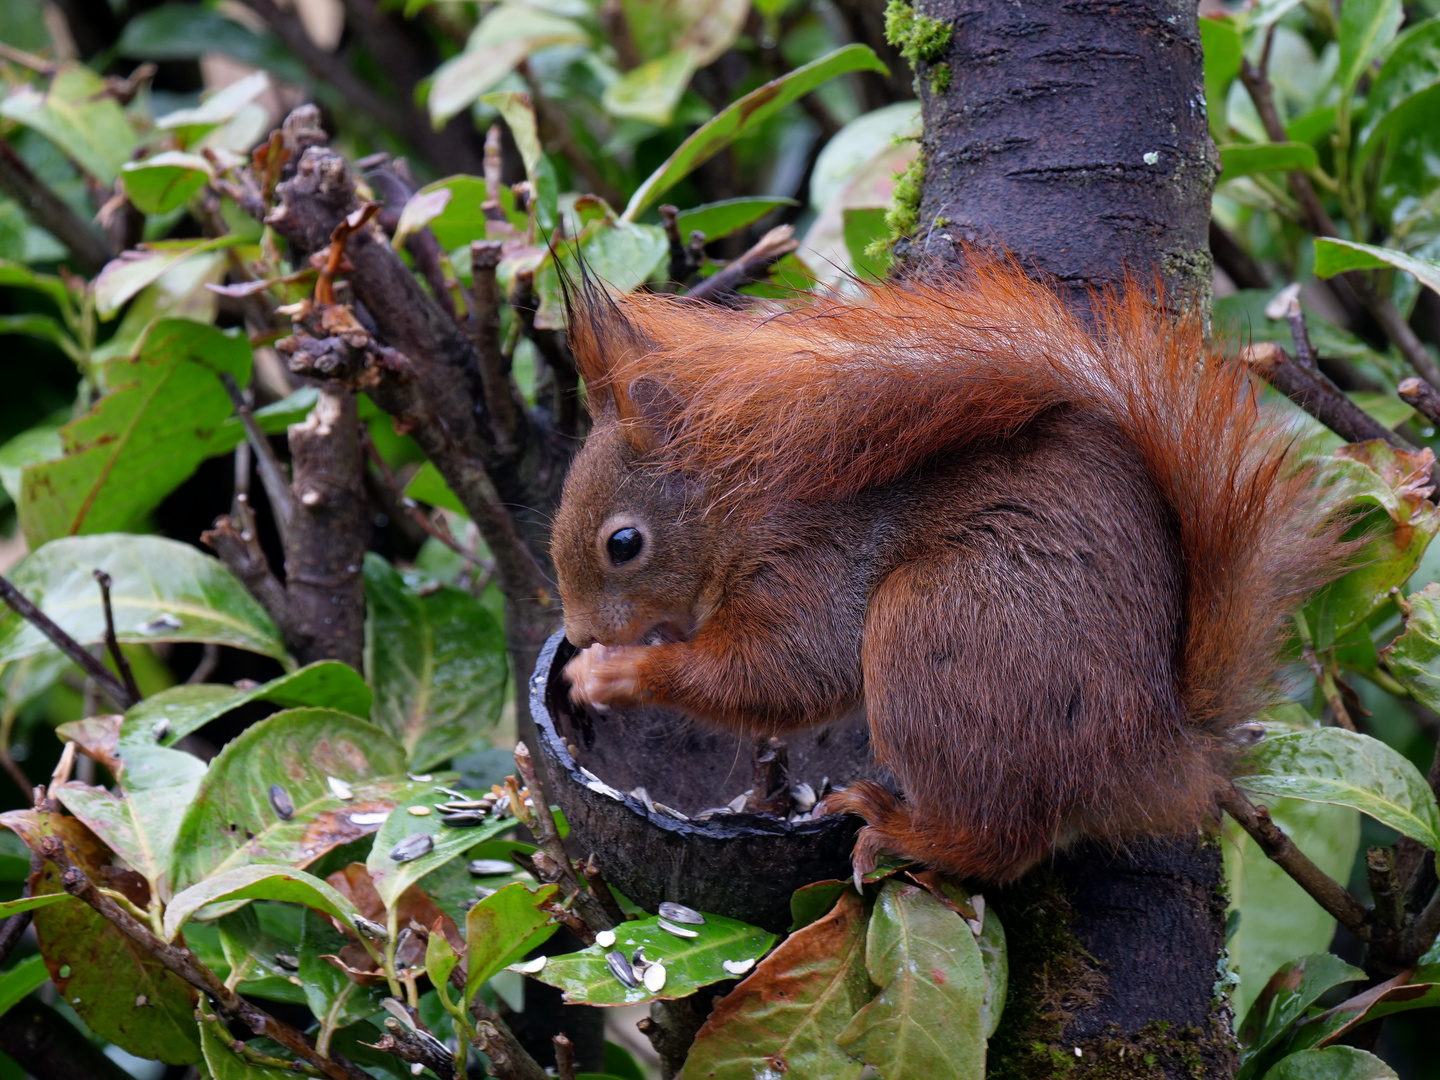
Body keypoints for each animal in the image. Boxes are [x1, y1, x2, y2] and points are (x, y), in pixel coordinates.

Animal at [544, 262, 1342, 887]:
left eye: (624, 543)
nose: (579, 631)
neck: (732, 504)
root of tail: (1151, 748)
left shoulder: (809, 566)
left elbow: (785, 674)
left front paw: (615, 674)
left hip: (936, 626)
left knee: (1001, 845)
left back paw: (900, 826)